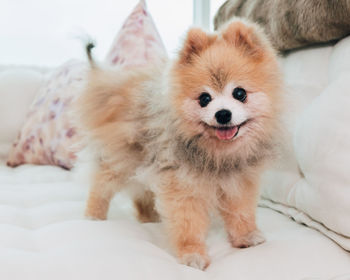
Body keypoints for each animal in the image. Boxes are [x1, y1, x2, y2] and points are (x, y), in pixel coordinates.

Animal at [76, 19, 282, 270]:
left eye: (239, 93)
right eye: (204, 99)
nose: (223, 114)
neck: (217, 153)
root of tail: (115, 84)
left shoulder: (238, 181)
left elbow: (241, 212)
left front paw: (246, 237)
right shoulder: (183, 184)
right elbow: (188, 222)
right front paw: (192, 254)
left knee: (142, 193)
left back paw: (149, 218)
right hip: (121, 160)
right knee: (101, 186)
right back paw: (94, 215)